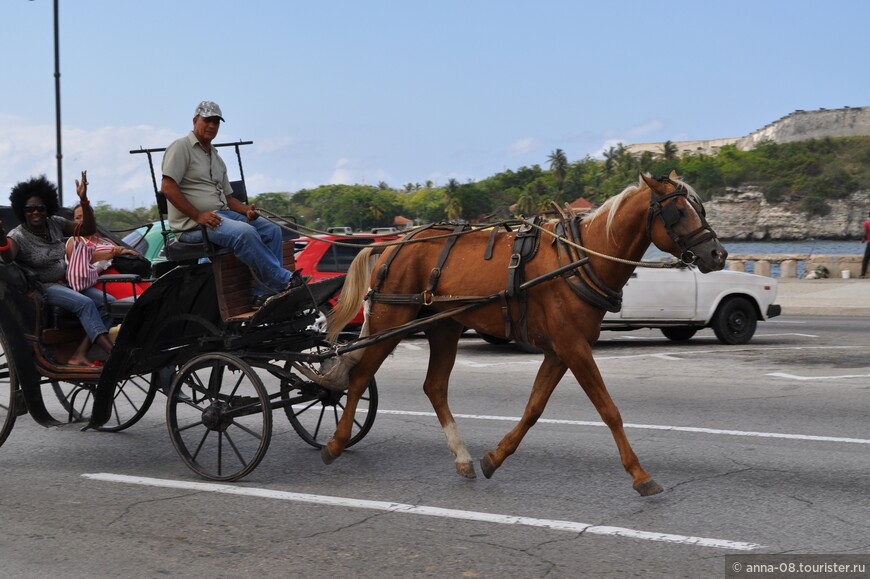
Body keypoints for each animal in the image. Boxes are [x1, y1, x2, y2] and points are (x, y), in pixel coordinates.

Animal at [320, 172, 728, 498]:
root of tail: (393, 243)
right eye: (678, 212)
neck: (580, 259)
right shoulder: (574, 347)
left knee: (433, 386)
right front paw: (640, 474)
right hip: (391, 319)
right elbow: (609, 410)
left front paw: (494, 458)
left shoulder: (560, 351)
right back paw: (336, 442)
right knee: (359, 376)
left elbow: (534, 408)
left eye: (701, 210)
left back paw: (463, 458)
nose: (718, 254)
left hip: (444, 325)